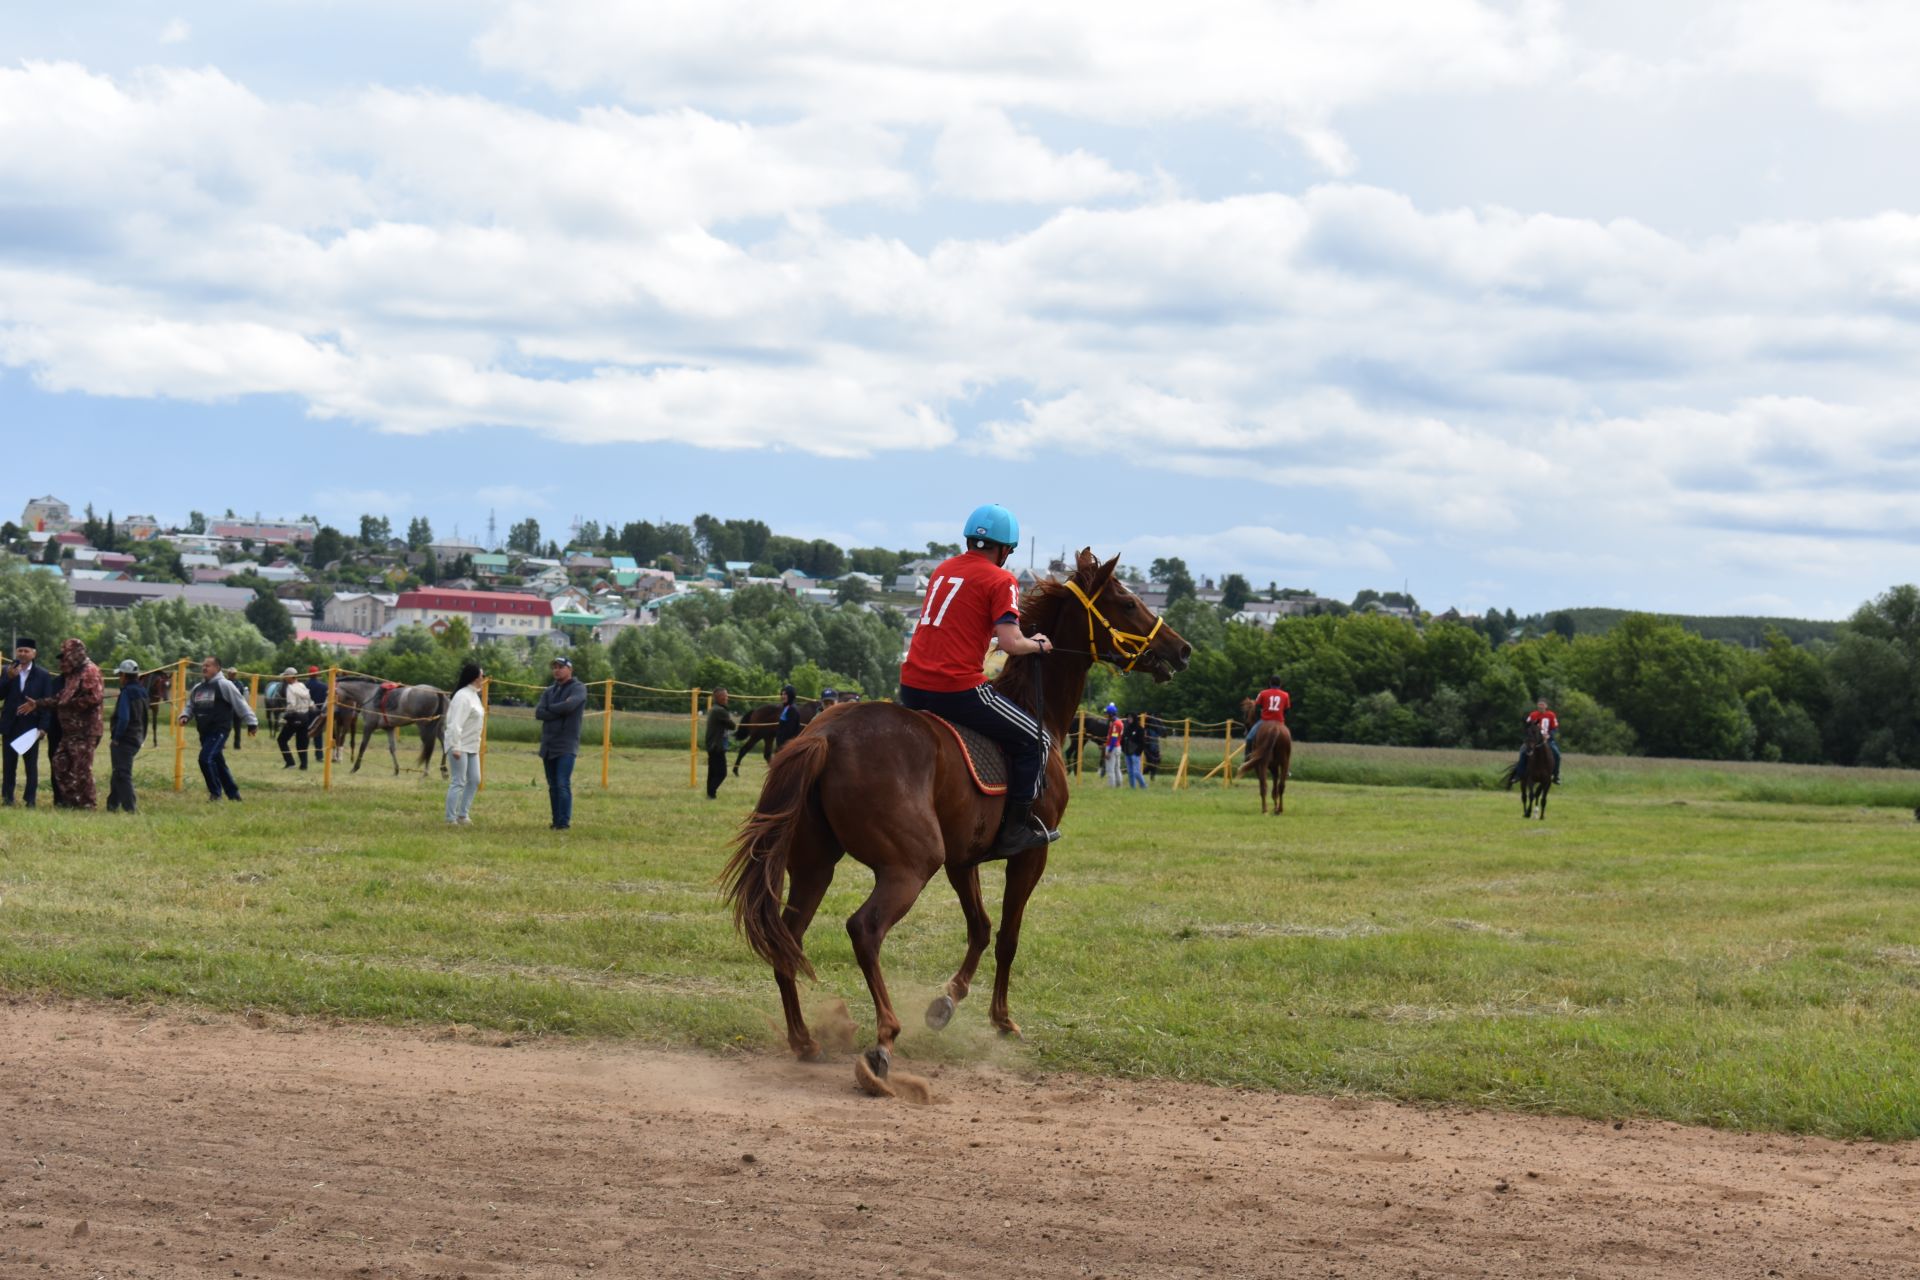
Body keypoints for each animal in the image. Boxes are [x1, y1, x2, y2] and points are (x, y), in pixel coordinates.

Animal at [725, 545, 1190, 1097]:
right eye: (1127, 602)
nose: (1182, 649)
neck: (1035, 709)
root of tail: (826, 733)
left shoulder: (962, 860)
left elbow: (981, 928)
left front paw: (947, 1002)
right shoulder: (1031, 853)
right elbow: (1008, 935)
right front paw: (1002, 1019)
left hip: (817, 865)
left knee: (788, 939)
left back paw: (803, 1040)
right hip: (910, 864)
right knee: (864, 929)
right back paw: (883, 1041)